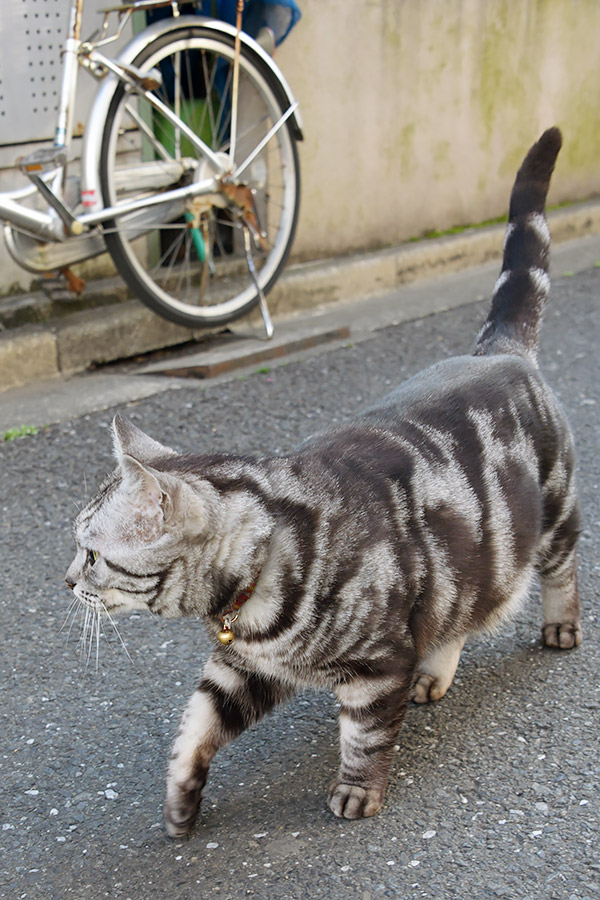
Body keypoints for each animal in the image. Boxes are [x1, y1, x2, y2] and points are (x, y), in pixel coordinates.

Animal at [65, 126, 580, 836]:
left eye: (90, 554)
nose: (64, 581)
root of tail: (497, 350)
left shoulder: (375, 667)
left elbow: (363, 737)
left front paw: (357, 793)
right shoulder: (238, 672)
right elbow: (192, 733)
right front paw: (180, 804)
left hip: (553, 515)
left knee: (560, 570)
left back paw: (561, 627)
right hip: (468, 565)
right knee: (459, 616)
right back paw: (435, 673)